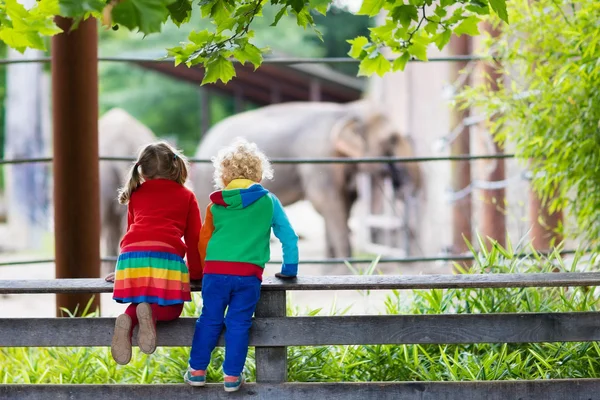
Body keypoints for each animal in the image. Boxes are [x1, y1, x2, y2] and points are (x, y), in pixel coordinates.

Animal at [192, 100, 422, 260]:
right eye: (392, 139)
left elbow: (343, 202)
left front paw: (335, 265)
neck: (346, 110)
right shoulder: (319, 156)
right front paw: (347, 264)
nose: (400, 183)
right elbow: (326, 201)